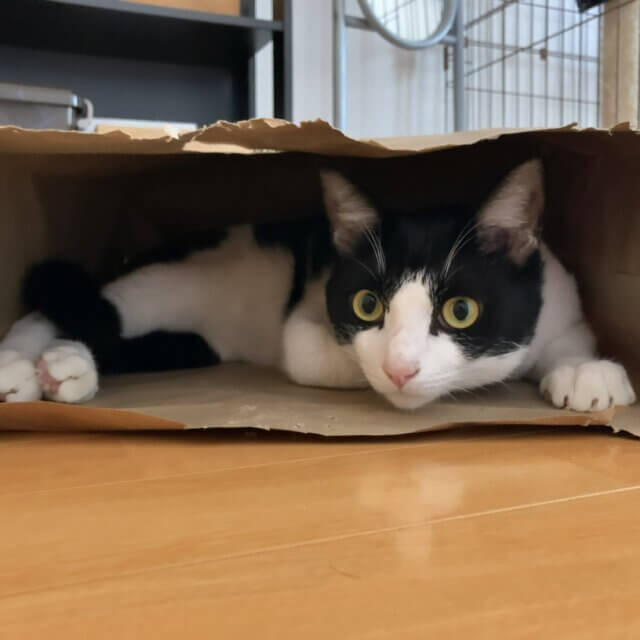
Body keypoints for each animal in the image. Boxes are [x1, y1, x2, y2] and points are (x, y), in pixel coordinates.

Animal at [0, 159, 634, 413]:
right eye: (367, 303)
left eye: (460, 311)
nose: (401, 368)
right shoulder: (306, 317)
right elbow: (317, 356)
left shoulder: (560, 299)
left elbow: (570, 339)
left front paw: (587, 373)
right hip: (173, 278)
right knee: (78, 307)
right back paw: (33, 365)